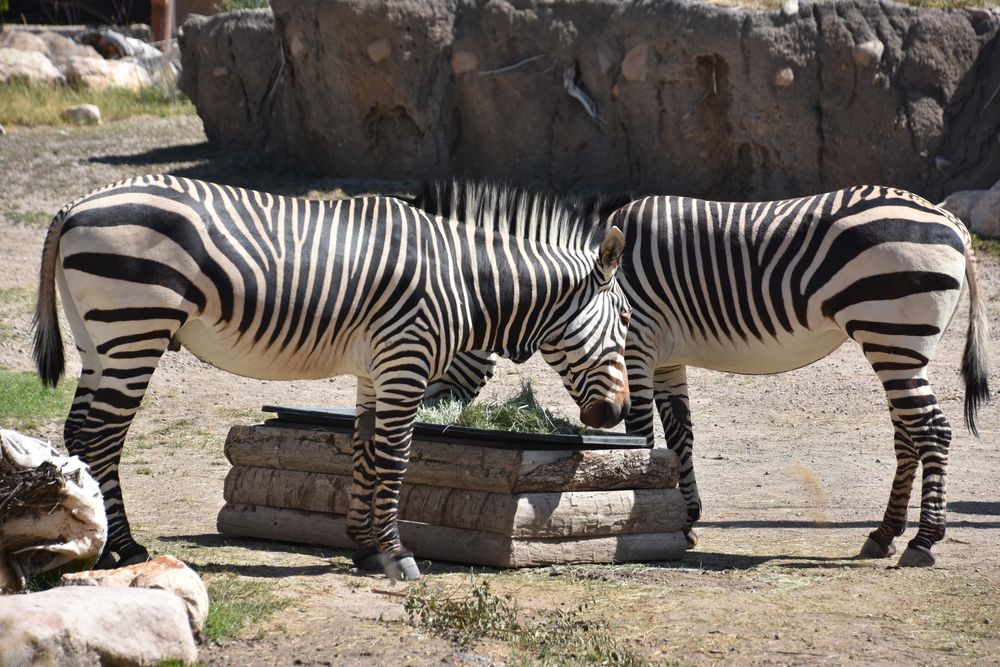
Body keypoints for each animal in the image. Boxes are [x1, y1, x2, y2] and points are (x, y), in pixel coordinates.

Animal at [33, 175, 632, 579]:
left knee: (78, 431)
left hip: (97, 338)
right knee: (102, 436)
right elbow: (394, 458)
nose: (616, 413)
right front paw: (398, 555)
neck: (461, 276)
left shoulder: (376, 370)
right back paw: (127, 547)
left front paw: (365, 549)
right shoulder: (406, 360)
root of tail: (74, 205)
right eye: (626, 319)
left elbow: (365, 450)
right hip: (135, 326)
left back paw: (96, 542)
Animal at [420, 185, 991, 567]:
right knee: (909, 436)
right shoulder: (666, 358)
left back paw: (923, 541)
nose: (424, 412)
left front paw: (647, 517)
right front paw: (687, 517)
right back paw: (884, 534)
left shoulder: (637, 345)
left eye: (446, 336)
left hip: (892, 334)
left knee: (933, 431)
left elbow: (642, 434)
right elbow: (681, 437)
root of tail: (950, 219)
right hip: (897, 345)